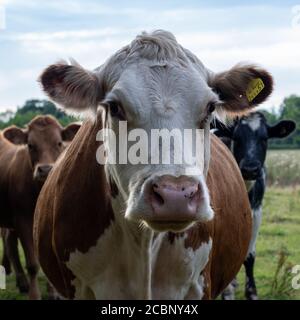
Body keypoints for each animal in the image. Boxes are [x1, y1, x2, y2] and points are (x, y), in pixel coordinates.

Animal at [0, 115, 81, 300]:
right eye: (30, 145)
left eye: (59, 143)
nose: (45, 169)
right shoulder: (22, 220)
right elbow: (33, 264)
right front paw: (34, 295)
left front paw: (53, 293)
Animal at [213, 111, 296, 298]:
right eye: (236, 137)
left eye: (264, 138)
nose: (250, 169)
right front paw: (226, 291)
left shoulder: (257, 211)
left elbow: (249, 255)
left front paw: (251, 291)